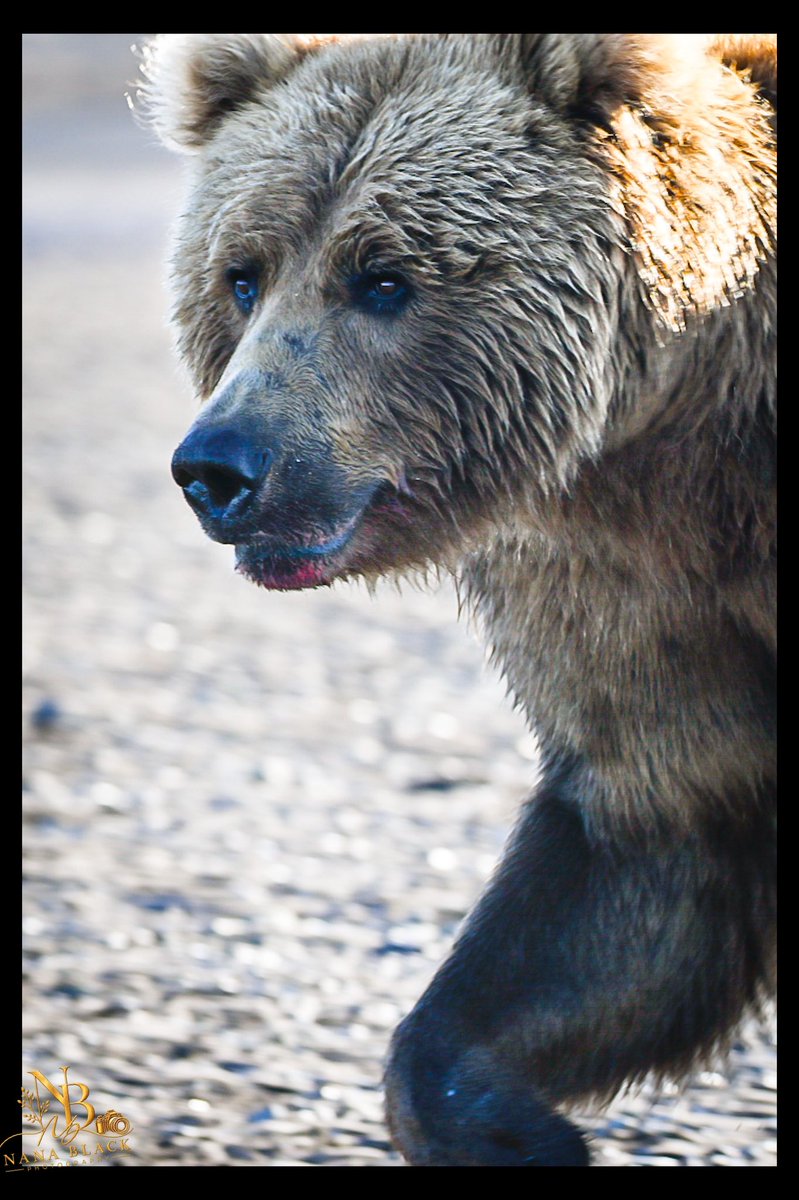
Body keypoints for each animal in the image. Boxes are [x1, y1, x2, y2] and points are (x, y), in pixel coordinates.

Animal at [139, 33, 776, 1166]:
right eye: (243, 275)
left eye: (385, 278)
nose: (220, 466)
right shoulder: (631, 580)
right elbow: (656, 825)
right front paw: (509, 1126)